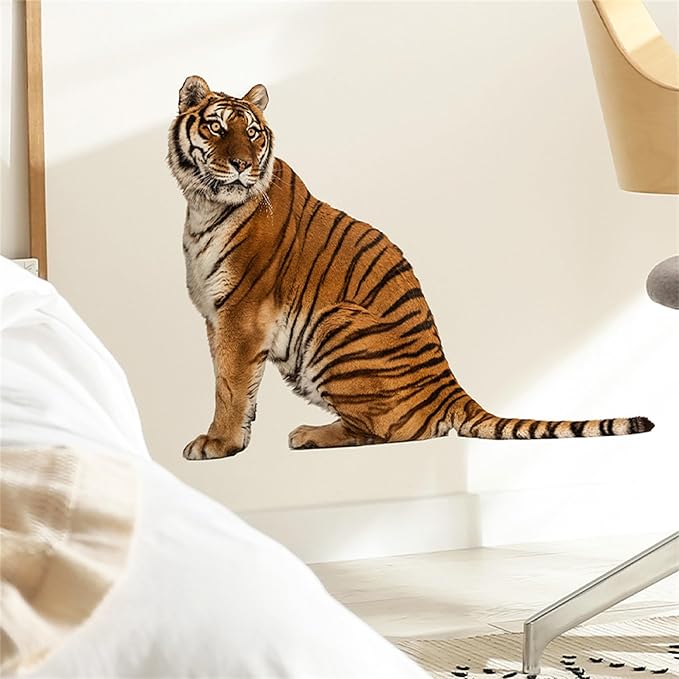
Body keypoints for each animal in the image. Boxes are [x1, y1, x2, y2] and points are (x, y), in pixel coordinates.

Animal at [167, 75, 654, 460]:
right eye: (215, 126)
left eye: (253, 132)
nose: (242, 165)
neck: (204, 205)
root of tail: (449, 386)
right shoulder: (216, 317)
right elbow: (235, 384)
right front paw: (236, 438)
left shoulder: (241, 314)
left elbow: (228, 385)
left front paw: (218, 443)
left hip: (334, 324)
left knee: (388, 431)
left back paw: (308, 434)